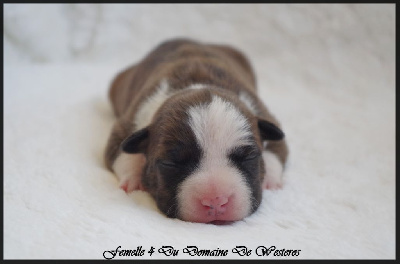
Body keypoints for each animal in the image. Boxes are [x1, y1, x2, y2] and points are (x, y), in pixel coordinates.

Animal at [104, 38, 290, 223]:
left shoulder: (264, 115)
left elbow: (275, 151)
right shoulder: (130, 121)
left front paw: (270, 181)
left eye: (249, 157)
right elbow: (121, 151)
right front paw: (134, 180)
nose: (216, 200)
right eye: (170, 163)